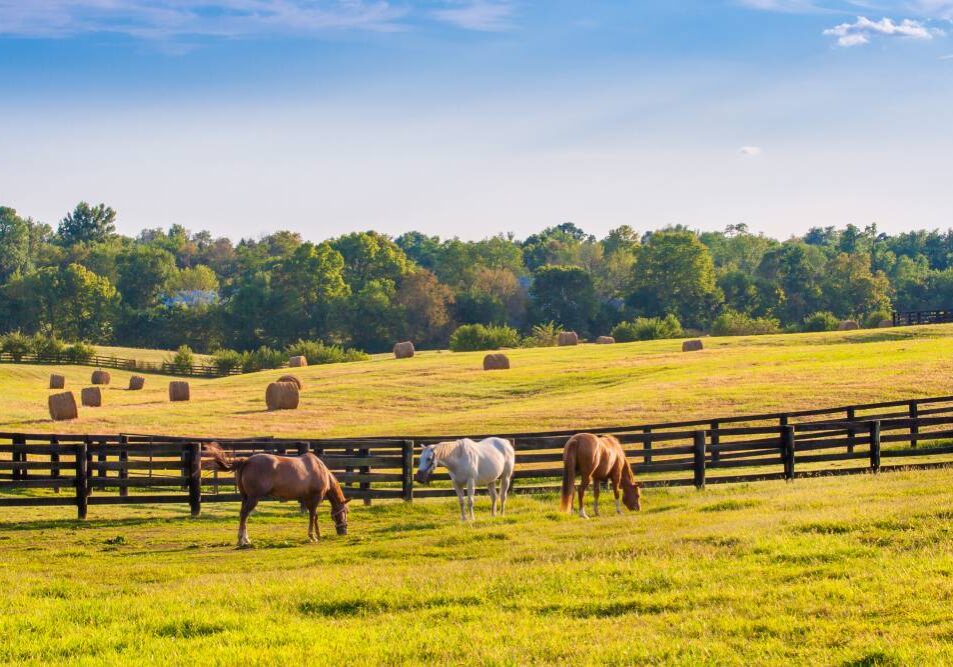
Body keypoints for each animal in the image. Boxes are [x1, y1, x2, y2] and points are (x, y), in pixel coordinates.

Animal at [203, 444, 352, 548]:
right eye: (345, 511)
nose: (344, 531)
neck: (320, 470)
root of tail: (246, 461)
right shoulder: (315, 498)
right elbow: (312, 516)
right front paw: (312, 536)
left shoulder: (308, 499)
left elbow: (314, 516)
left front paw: (318, 534)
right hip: (253, 498)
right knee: (245, 514)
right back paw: (242, 540)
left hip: (245, 497)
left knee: (242, 515)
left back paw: (245, 539)